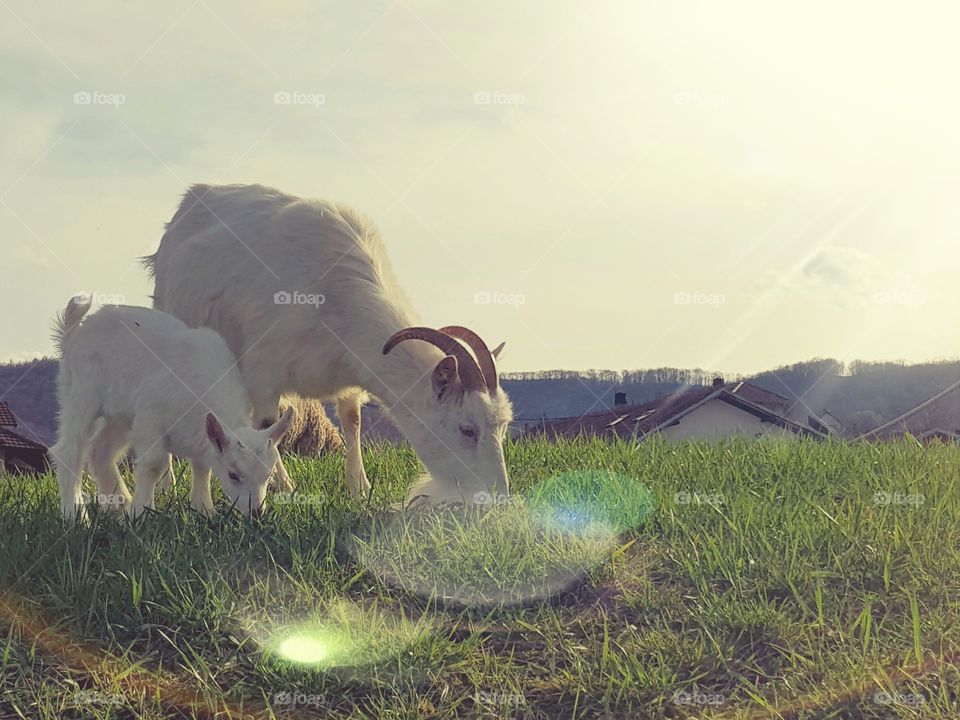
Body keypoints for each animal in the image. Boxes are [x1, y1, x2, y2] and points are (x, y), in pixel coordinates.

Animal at [51, 296, 294, 521]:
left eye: (269, 476)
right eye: (233, 475)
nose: (256, 513)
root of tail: (75, 333)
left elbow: (202, 467)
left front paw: (204, 509)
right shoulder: (150, 415)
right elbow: (153, 465)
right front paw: (140, 513)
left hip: (120, 416)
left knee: (101, 450)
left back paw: (118, 503)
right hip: (80, 393)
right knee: (70, 451)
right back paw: (76, 515)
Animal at [143, 184, 513, 506]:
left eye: (503, 426)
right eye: (467, 429)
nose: (498, 497)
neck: (335, 296)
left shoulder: (348, 373)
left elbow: (352, 422)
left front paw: (360, 488)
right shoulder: (264, 369)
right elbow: (268, 425)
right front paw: (283, 487)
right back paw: (166, 485)